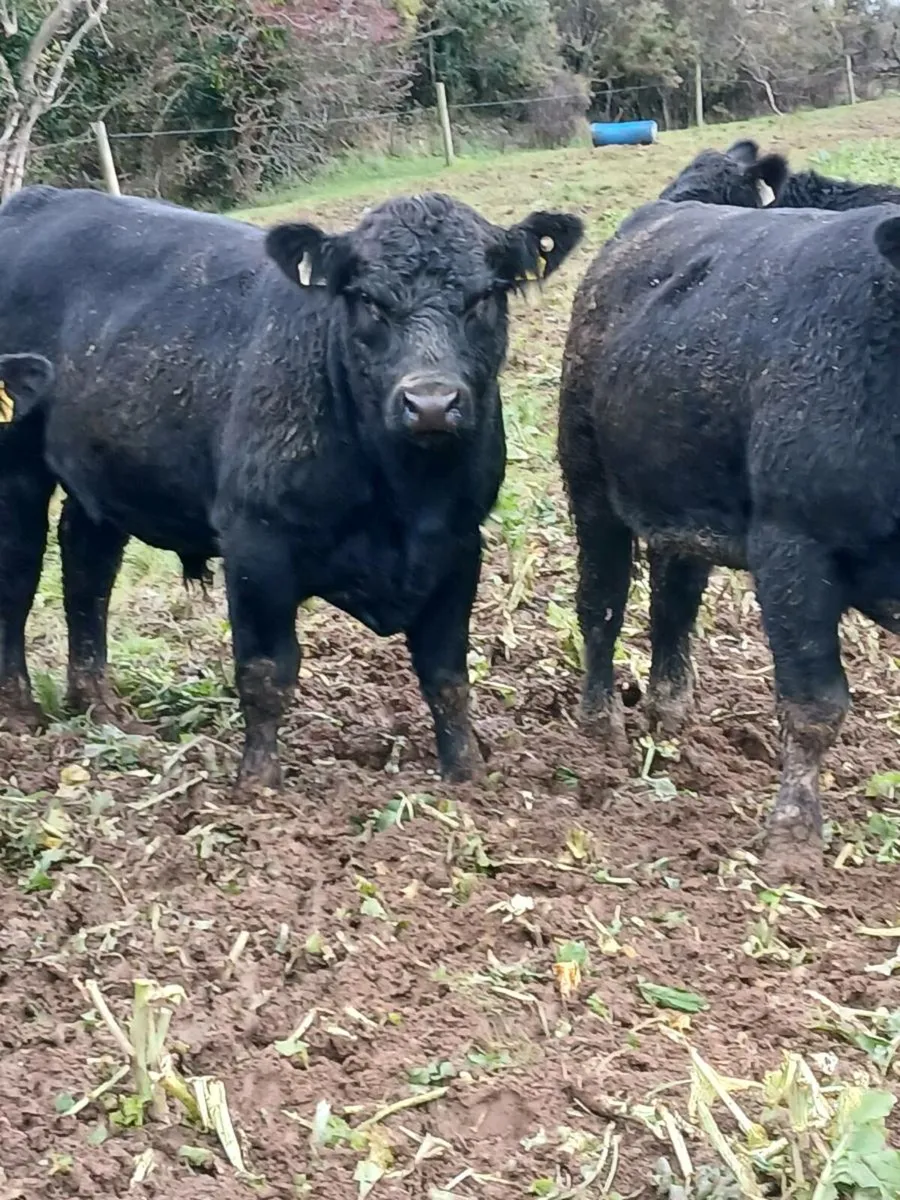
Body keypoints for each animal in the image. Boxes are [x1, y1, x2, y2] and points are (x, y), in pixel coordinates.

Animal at [0, 185, 583, 788]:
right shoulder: (256, 544)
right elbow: (266, 673)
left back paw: (100, 705)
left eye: (485, 296)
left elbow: (446, 675)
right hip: (16, 466)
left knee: (87, 569)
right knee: (18, 574)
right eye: (367, 299)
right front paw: (259, 785)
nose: (429, 402)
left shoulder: (460, 545)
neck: (404, 500)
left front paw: (466, 775)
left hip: (101, 472)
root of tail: (42, 196)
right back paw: (21, 712)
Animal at [558, 191, 900, 874]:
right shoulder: (793, 548)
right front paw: (793, 838)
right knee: (601, 606)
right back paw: (600, 724)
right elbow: (814, 706)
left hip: (681, 509)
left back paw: (670, 715)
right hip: (591, 487)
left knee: (673, 607)